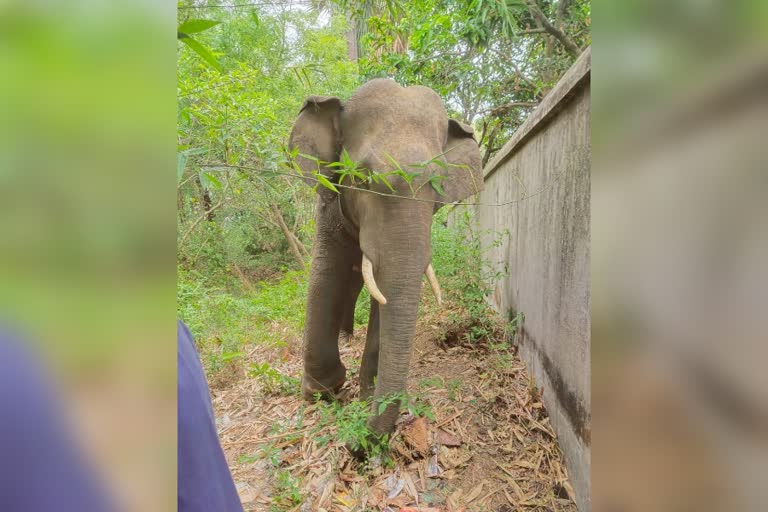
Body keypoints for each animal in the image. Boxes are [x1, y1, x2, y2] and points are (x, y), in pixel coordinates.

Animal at [292, 79, 484, 436]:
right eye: (362, 179)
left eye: (438, 187)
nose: (361, 438)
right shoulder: (329, 201)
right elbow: (327, 271)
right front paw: (321, 392)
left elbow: (385, 293)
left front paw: (366, 392)